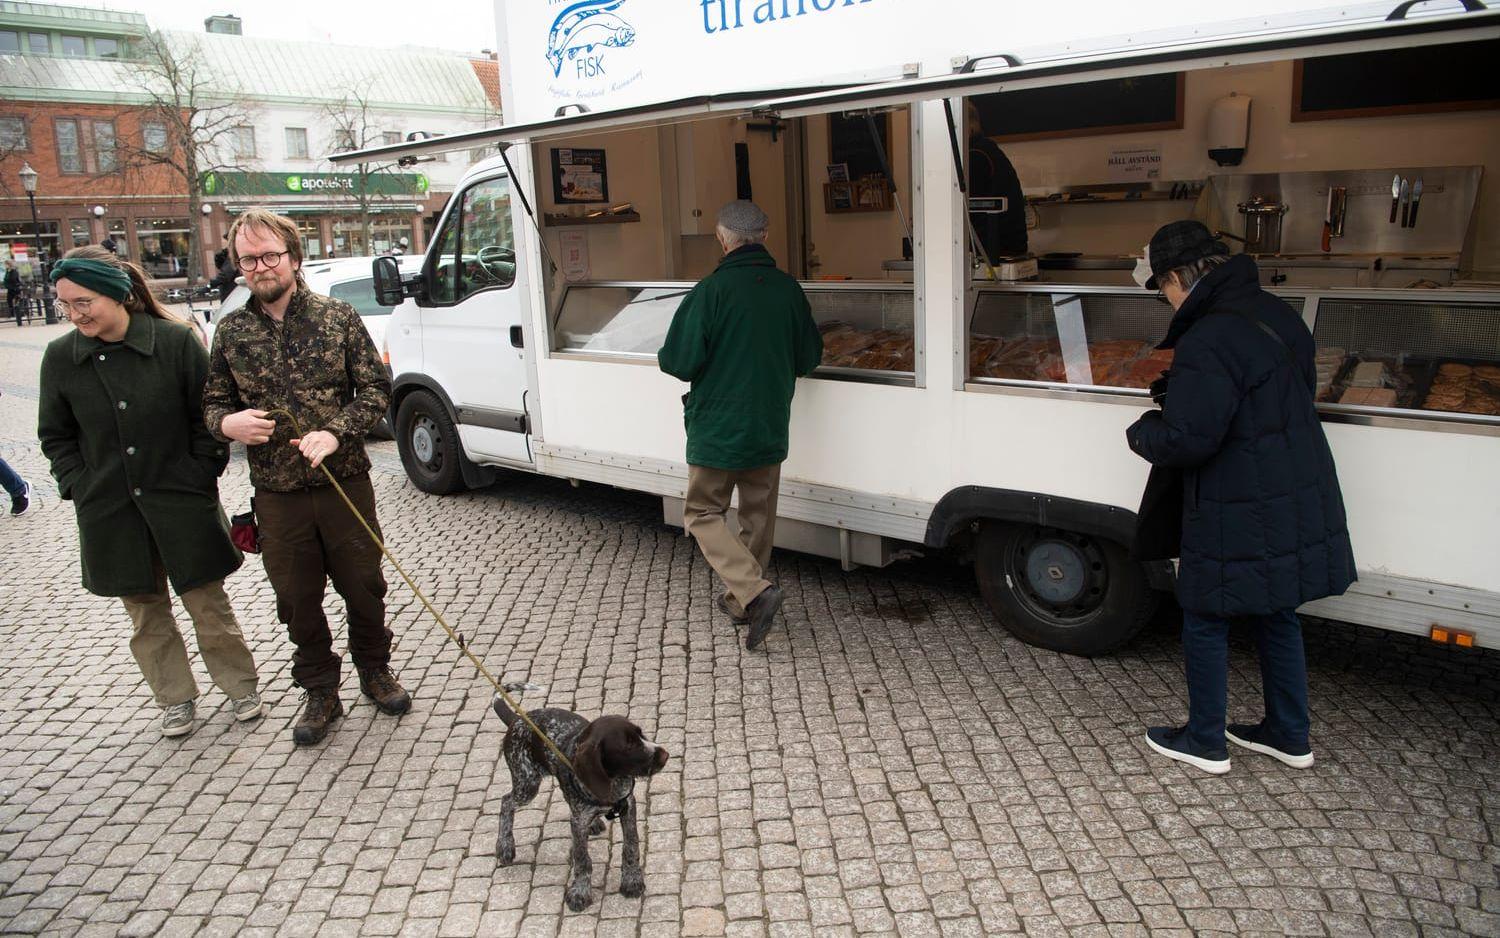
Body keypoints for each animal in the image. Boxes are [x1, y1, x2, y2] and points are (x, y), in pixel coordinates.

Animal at [492, 687, 669, 906]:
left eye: (641, 734)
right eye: (628, 746)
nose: (666, 755)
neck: (612, 781)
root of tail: (517, 720)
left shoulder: (627, 804)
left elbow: (631, 846)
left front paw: (632, 880)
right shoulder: (580, 819)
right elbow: (582, 859)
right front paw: (581, 891)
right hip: (527, 782)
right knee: (506, 802)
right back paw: (505, 845)